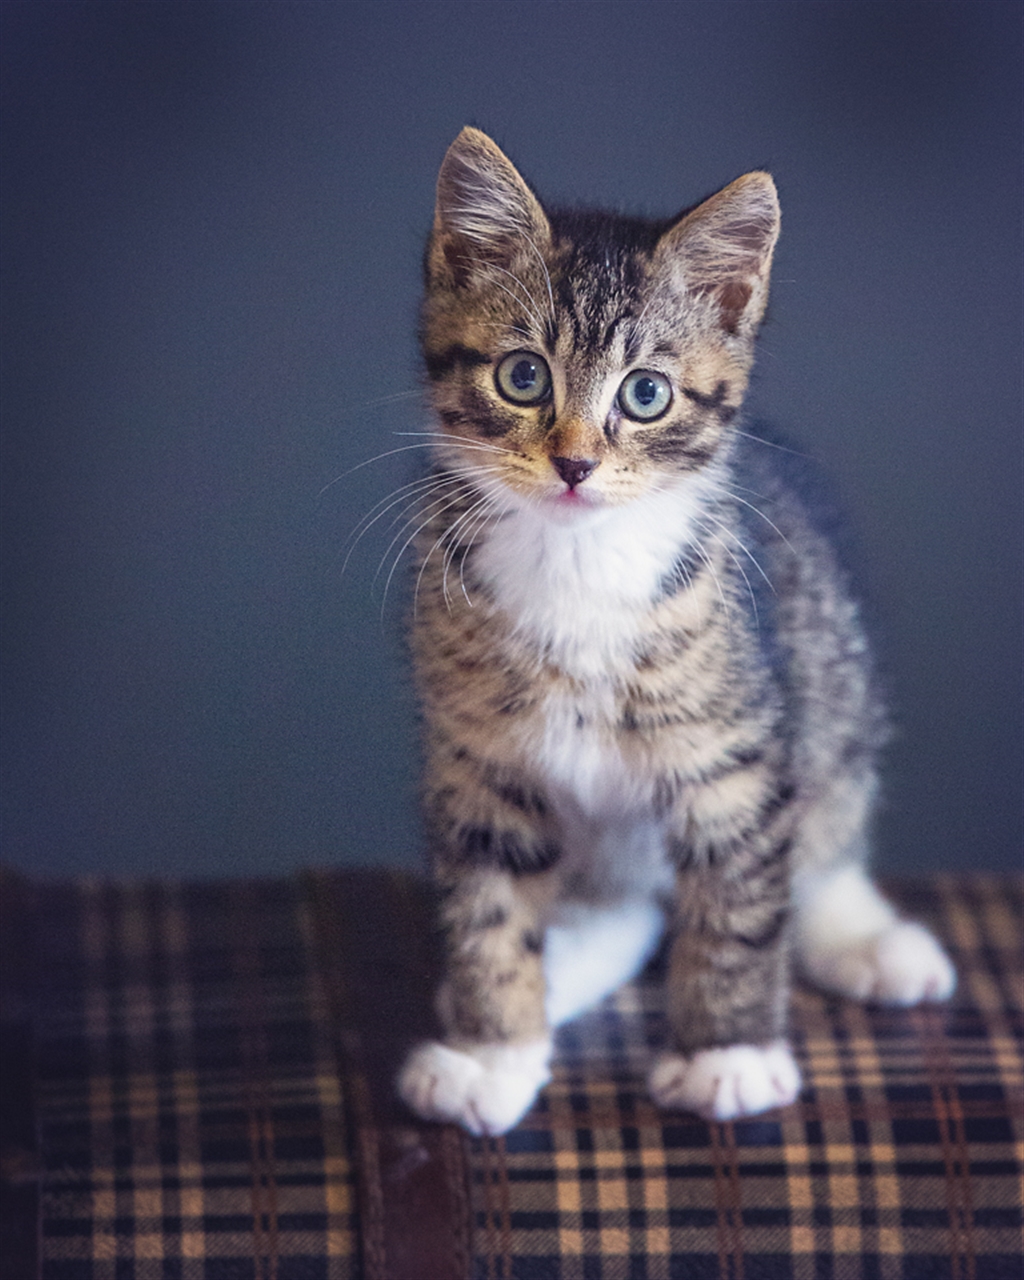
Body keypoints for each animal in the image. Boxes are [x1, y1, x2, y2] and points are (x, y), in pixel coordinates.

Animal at [395, 127, 955, 1137]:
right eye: (522, 376)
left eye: (646, 394)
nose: (575, 464)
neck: (577, 561)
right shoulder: (475, 759)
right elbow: (488, 907)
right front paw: (490, 1049)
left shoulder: (737, 750)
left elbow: (738, 900)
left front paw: (726, 1053)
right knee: (630, 905)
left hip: (831, 676)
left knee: (823, 828)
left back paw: (867, 938)